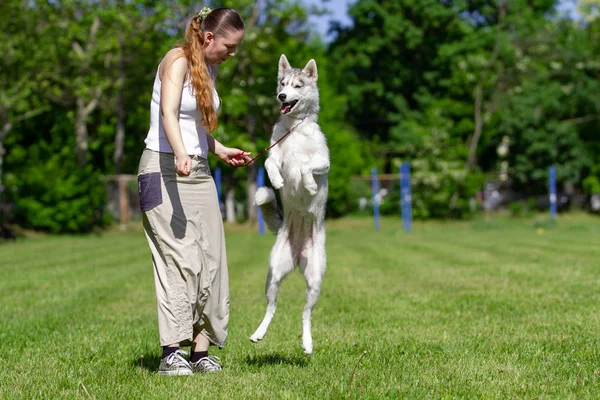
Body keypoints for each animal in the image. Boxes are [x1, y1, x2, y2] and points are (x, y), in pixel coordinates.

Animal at [250, 54, 330, 354]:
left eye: (298, 85)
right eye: (282, 83)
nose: (281, 96)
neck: (294, 129)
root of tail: (297, 255)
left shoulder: (323, 162)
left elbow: (306, 166)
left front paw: (308, 185)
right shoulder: (273, 154)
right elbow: (270, 164)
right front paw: (278, 180)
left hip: (315, 281)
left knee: (305, 314)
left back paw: (307, 342)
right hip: (273, 275)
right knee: (272, 308)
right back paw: (259, 333)